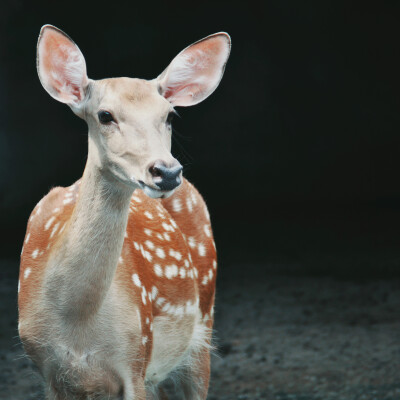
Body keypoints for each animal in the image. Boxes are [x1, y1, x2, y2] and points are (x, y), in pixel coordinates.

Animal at [18, 25, 231, 400]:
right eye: (105, 115)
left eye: (170, 115)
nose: (167, 171)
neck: (77, 324)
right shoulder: (48, 371)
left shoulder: (136, 356)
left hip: (202, 328)